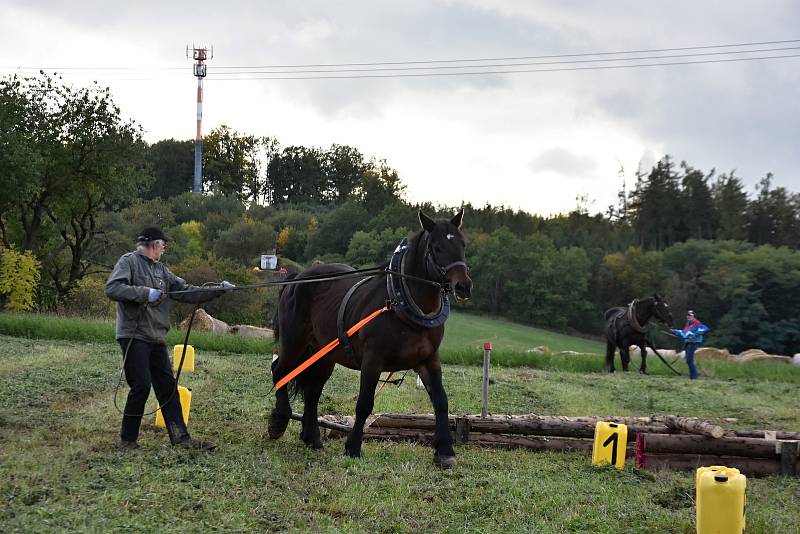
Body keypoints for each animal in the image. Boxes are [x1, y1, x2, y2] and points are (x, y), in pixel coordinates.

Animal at [270, 209, 468, 468]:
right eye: (437, 247)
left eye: (463, 244)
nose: (464, 286)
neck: (400, 304)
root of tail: (298, 277)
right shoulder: (373, 360)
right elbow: (364, 403)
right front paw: (353, 446)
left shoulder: (429, 360)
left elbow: (440, 401)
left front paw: (445, 451)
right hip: (295, 340)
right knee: (280, 371)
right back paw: (279, 422)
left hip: (324, 354)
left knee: (313, 391)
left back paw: (312, 438)